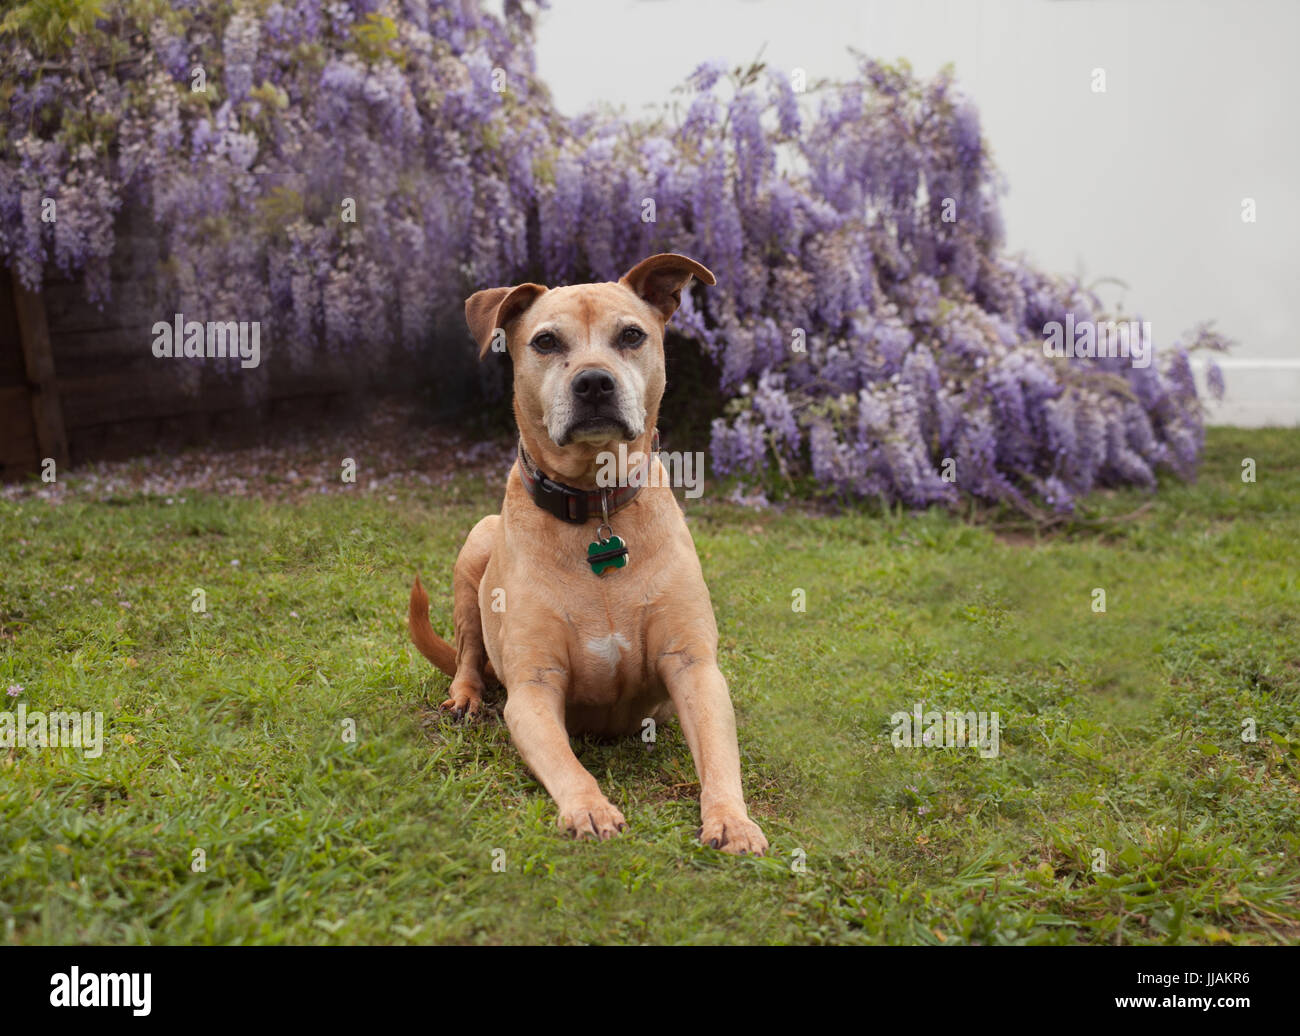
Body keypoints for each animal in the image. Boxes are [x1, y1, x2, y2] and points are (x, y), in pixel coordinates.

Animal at [410, 254, 764, 852]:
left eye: (632, 335)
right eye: (546, 341)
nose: (594, 382)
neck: (595, 506)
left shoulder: (694, 667)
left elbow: (720, 758)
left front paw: (731, 820)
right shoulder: (532, 689)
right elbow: (566, 763)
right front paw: (589, 808)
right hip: (476, 544)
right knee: (467, 653)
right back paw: (465, 697)